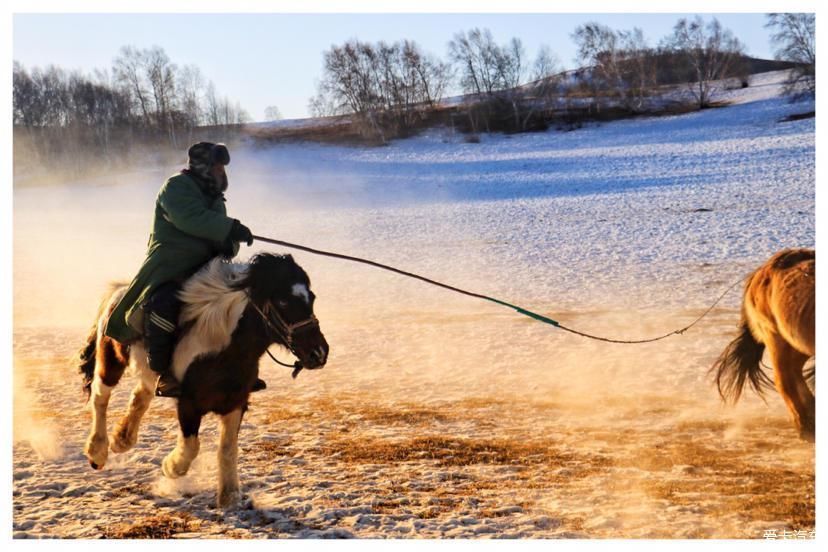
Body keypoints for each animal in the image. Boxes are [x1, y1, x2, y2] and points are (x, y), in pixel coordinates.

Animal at [77, 252, 330, 506]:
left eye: (311, 299)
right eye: (284, 302)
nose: (319, 353)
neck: (221, 350)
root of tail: (118, 291)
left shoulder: (236, 403)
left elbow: (227, 449)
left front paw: (229, 496)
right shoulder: (188, 403)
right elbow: (191, 446)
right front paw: (171, 468)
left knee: (139, 396)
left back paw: (122, 440)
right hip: (110, 362)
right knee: (100, 398)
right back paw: (97, 451)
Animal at [712, 248, 816, 442]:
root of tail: (761, 271)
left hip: (795, 344)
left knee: (794, 373)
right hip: (775, 338)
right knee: (784, 381)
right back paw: (806, 428)